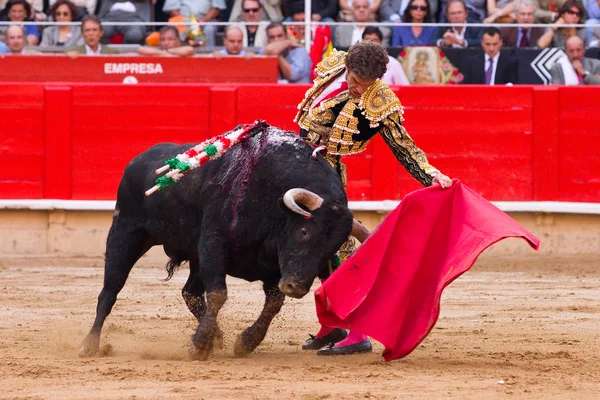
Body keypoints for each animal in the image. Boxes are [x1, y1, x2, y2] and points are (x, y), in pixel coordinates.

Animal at [77, 126, 368, 360]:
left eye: (332, 248)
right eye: (305, 232)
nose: (295, 287)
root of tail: (139, 159)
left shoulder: (272, 265)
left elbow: (272, 303)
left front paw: (245, 342)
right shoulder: (213, 245)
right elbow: (218, 293)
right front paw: (199, 346)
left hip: (192, 256)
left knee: (190, 292)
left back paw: (216, 335)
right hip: (125, 233)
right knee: (110, 291)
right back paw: (89, 345)